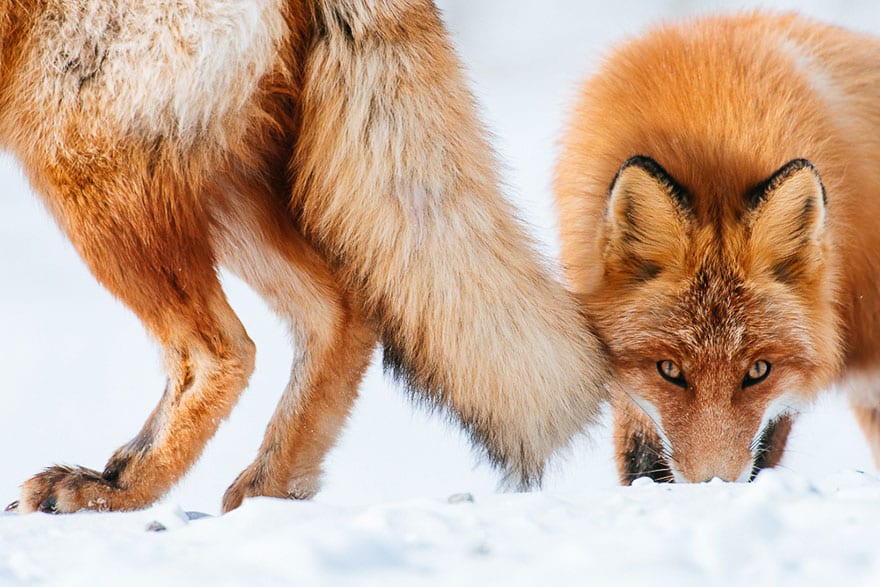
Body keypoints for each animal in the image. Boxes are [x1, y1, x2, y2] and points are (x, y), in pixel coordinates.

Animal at [1, 0, 604, 516]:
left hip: (79, 162)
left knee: (223, 351)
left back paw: (116, 487)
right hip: (228, 184)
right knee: (341, 311)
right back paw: (267, 491)